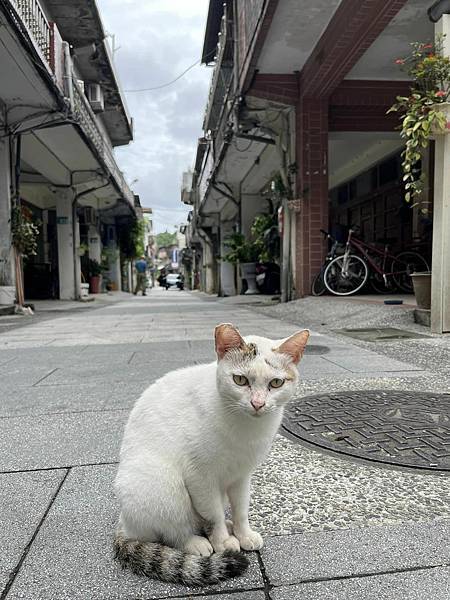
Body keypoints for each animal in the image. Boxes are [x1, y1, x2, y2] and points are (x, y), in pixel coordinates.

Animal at [113, 324, 310, 584]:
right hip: (162, 485)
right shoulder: (199, 476)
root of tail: (125, 525)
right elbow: (212, 514)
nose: (258, 404)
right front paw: (223, 541)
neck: (246, 428)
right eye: (240, 380)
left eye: (276, 383)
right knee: (173, 531)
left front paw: (243, 533)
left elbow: (241, 509)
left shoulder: (242, 476)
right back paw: (196, 543)